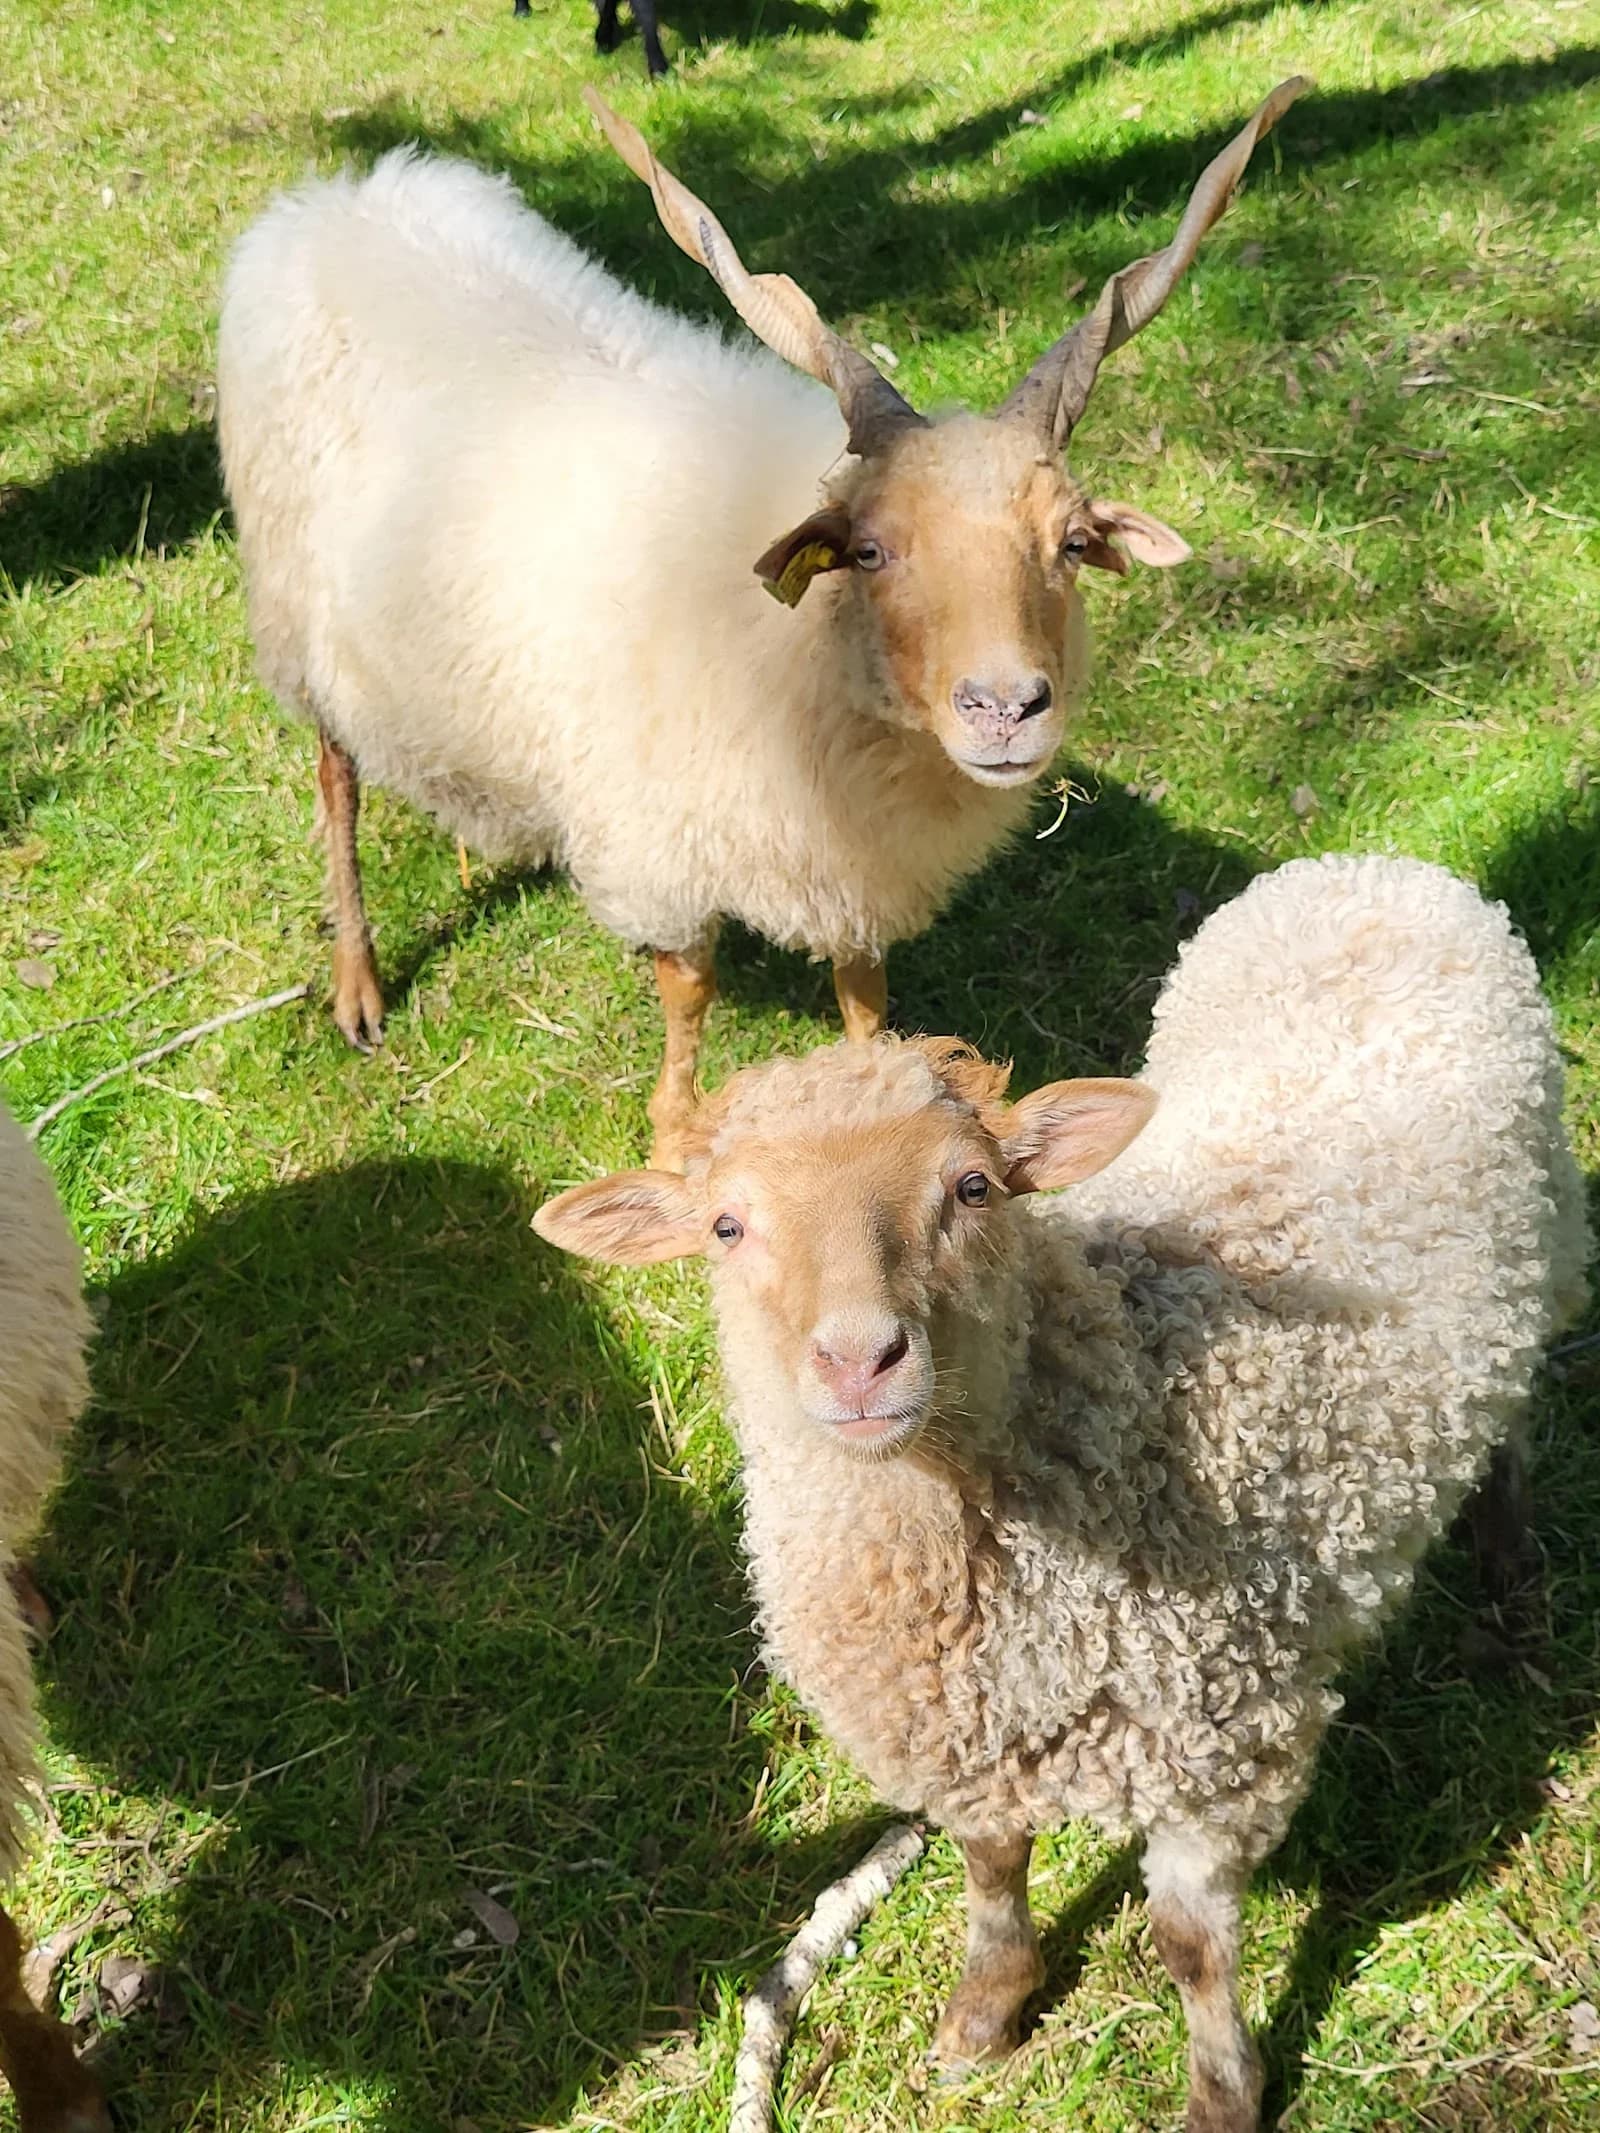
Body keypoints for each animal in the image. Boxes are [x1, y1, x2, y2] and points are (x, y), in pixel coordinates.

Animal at [217, 80, 1305, 1168]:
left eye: (1073, 543)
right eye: (868, 551)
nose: (1005, 708)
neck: (798, 662)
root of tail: (340, 199)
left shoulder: (848, 863)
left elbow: (862, 987)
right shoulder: (662, 843)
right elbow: (689, 988)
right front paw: (672, 1135)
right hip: (300, 620)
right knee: (336, 781)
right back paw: (357, 984)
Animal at [533, 853, 1591, 2130]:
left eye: (973, 1188)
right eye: (727, 1225)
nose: (859, 1361)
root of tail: (1372, 869)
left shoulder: (1220, 1743)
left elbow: (1190, 1947)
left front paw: (1221, 2094)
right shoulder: (970, 1740)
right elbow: (992, 1868)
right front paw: (985, 2013)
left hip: (1548, 1244)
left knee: (1512, 1423)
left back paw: (1511, 1577)